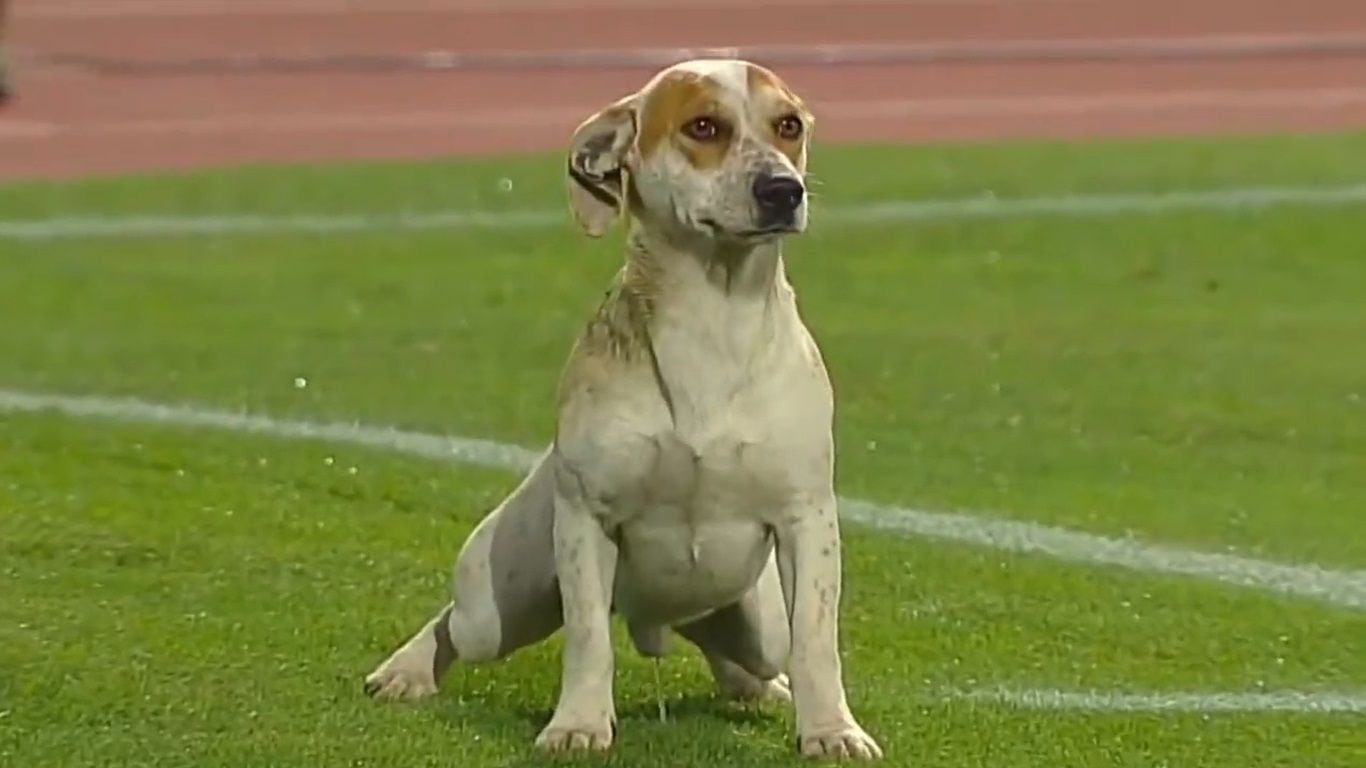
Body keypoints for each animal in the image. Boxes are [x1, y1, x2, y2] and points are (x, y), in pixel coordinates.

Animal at [363, 56, 879, 754]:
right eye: (704, 126)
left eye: (789, 126)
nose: (783, 189)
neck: (714, 320)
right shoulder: (589, 519)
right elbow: (587, 639)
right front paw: (578, 724)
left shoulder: (807, 520)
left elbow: (817, 643)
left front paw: (831, 730)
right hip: (493, 603)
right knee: (457, 625)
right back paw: (405, 672)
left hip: (756, 616)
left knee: (738, 643)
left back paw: (760, 686)